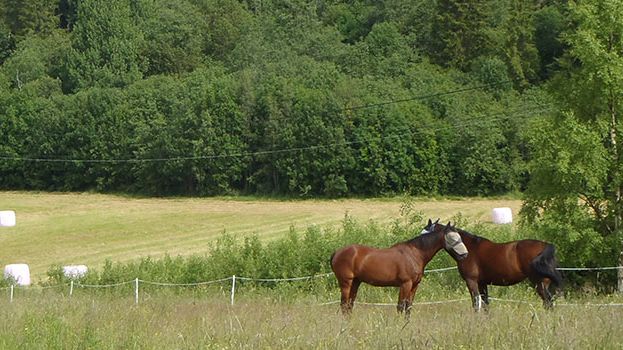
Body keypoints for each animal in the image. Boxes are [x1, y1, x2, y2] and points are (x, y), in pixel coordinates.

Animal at [332, 219, 468, 314]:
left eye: (460, 237)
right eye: (452, 238)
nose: (465, 255)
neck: (414, 254)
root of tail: (337, 252)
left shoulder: (414, 285)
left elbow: (408, 307)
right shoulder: (405, 284)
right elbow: (400, 307)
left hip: (355, 282)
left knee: (349, 305)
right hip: (346, 283)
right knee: (344, 305)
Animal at [422, 220, 564, 310]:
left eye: (426, 233)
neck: (469, 249)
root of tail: (545, 245)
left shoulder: (471, 281)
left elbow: (476, 304)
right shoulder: (482, 283)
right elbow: (485, 304)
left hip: (538, 283)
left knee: (548, 302)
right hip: (545, 283)